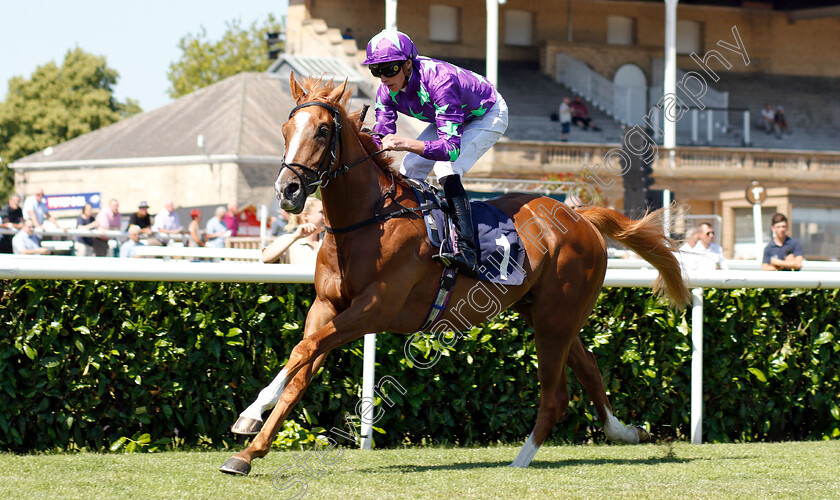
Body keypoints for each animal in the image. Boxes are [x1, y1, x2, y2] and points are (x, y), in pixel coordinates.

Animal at [218, 76, 688, 474]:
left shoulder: (374, 309)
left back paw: (520, 461)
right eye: (286, 128)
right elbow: (301, 365)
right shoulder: (327, 305)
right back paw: (625, 432)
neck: (368, 220)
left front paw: (249, 415)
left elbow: (304, 350)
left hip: (556, 316)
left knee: (555, 395)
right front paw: (249, 447)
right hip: (544, 312)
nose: (287, 190)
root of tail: (580, 216)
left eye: (320, 131)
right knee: (589, 371)